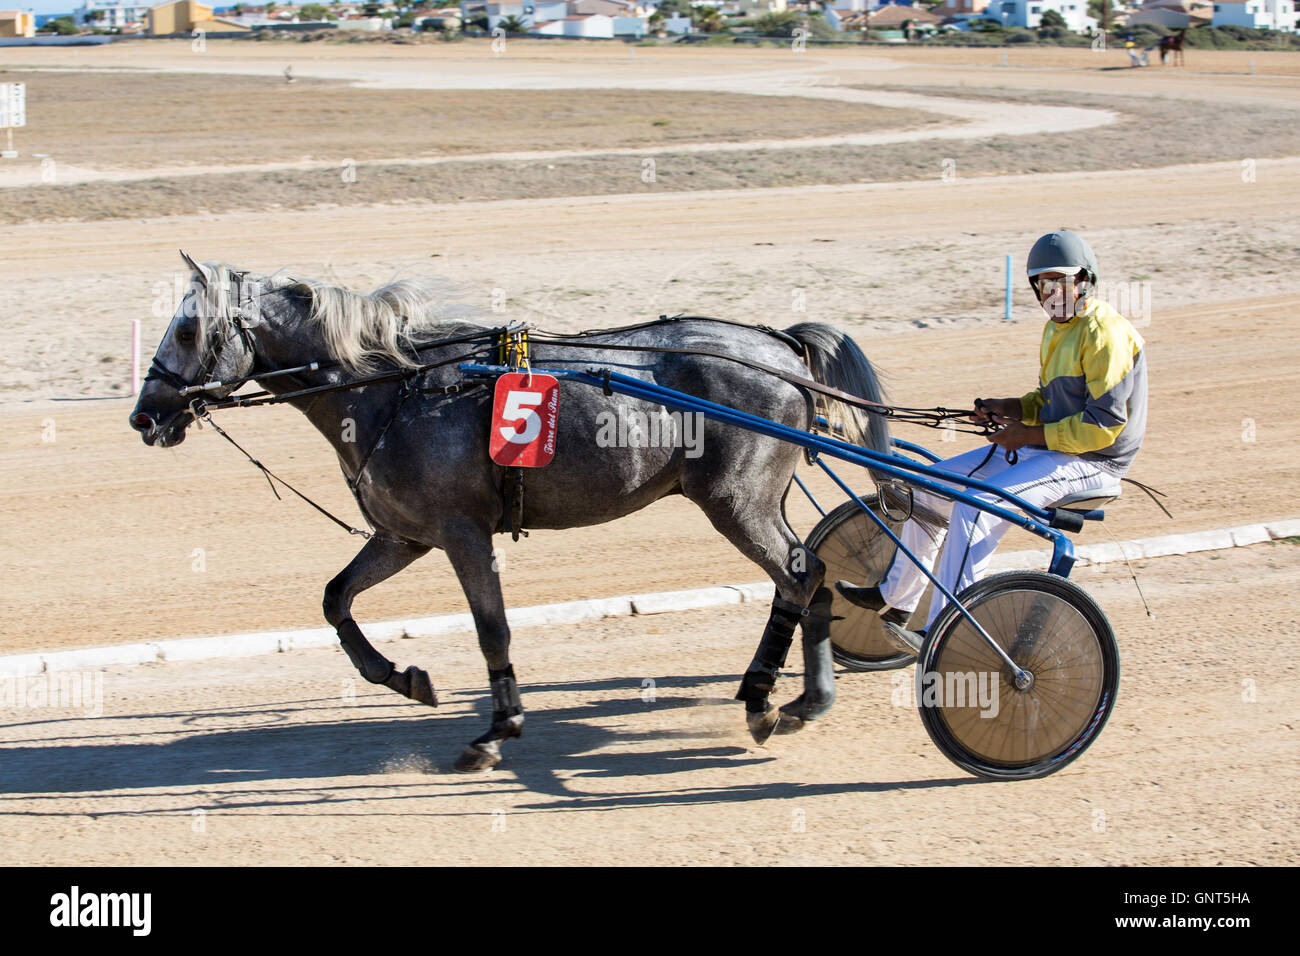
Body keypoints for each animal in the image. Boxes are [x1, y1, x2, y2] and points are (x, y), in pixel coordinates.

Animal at [126, 252, 909, 770]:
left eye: (189, 331)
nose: (144, 415)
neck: (394, 388)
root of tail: (782, 347)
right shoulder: (403, 535)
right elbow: (335, 599)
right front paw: (404, 679)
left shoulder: (462, 533)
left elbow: (492, 628)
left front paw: (496, 729)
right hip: (754, 503)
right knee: (807, 579)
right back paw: (792, 698)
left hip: (736, 503)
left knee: (800, 574)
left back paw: (773, 700)